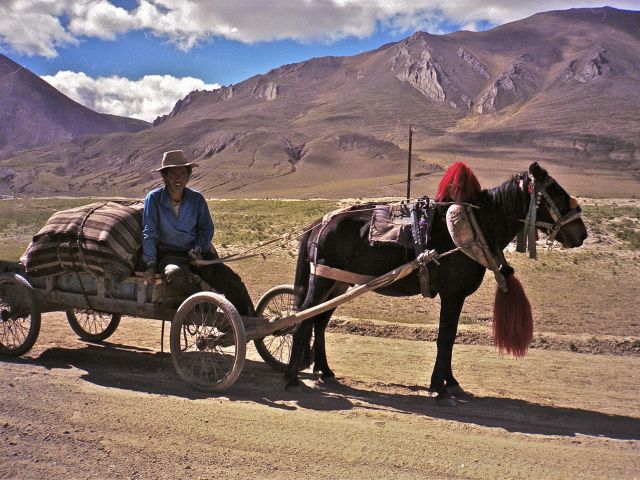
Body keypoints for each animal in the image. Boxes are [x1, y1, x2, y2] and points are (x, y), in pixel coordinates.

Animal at [288, 162, 588, 404]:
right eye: (556, 192)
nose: (582, 234)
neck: (477, 226)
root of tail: (320, 223)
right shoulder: (452, 294)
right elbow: (445, 338)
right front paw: (439, 389)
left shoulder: (456, 296)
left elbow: (450, 339)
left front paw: (450, 383)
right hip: (321, 282)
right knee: (302, 321)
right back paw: (292, 379)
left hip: (337, 284)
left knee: (319, 322)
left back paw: (324, 372)